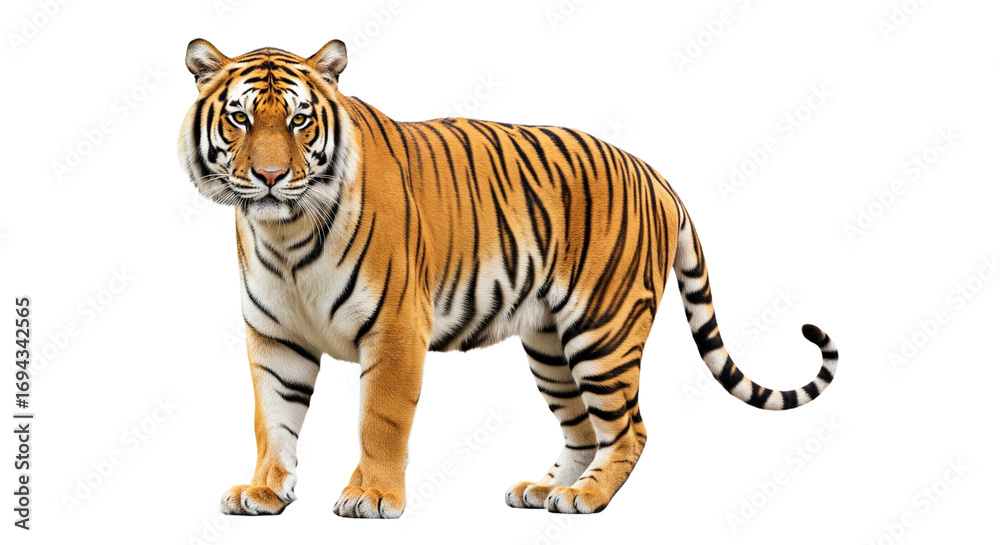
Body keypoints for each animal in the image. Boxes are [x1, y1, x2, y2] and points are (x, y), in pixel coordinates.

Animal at [178, 38, 838, 519]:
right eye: (239, 118)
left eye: (299, 121)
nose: (268, 177)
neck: (284, 232)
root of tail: (653, 173)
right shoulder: (275, 338)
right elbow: (272, 421)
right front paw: (263, 491)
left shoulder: (395, 328)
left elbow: (380, 421)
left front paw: (372, 496)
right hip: (549, 344)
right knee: (583, 429)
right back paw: (543, 490)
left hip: (603, 332)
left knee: (630, 429)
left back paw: (585, 498)